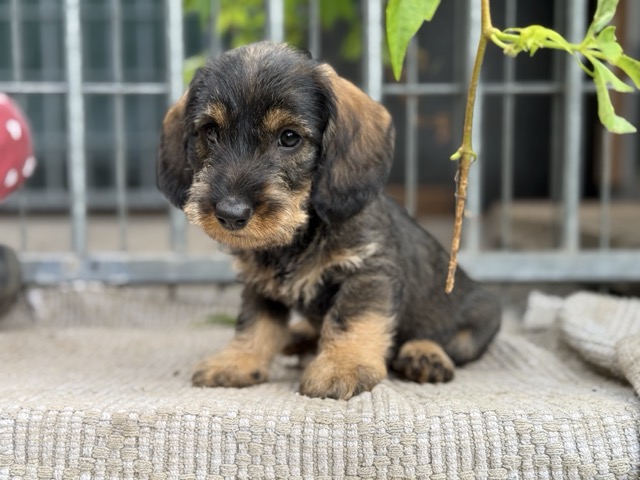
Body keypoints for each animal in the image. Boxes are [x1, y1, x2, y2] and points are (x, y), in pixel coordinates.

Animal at [157, 42, 501, 400]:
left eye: (289, 137)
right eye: (210, 132)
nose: (230, 213)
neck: (301, 233)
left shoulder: (367, 273)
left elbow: (350, 319)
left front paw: (342, 366)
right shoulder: (258, 286)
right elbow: (255, 324)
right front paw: (238, 361)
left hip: (479, 316)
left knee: (452, 342)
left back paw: (424, 355)